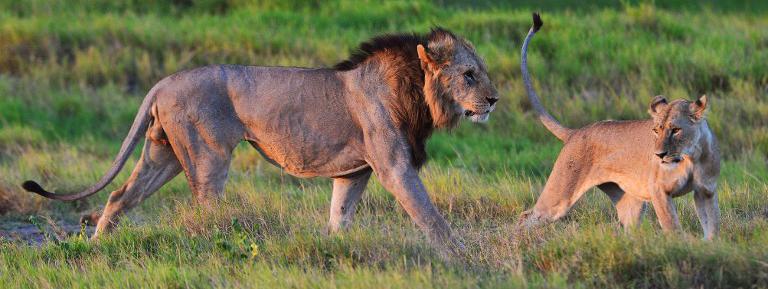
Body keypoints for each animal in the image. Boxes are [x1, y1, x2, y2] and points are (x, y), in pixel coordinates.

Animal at [22, 27, 498, 252]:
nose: (494, 99)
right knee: (204, 209)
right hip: (208, 155)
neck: (417, 94)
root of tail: (162, 82)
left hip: (163, 153)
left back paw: (97, 246)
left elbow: (339, 219)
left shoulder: (353, 173)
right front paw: (462, 259)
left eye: (482, 72)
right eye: (468, 74)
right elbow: (431, 217)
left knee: (121, 195)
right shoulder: (395, 167)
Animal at [516, 14, 720, 238]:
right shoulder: (659, 190)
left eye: (675, 130)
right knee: (526, 216)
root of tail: (575, 132)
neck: (690, 157)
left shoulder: (706, 191)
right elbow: (672, 226)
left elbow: (712, 227)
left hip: (631, 202)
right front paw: (679, 244)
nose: (659, 155)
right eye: (656, 130)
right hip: (559, 196)